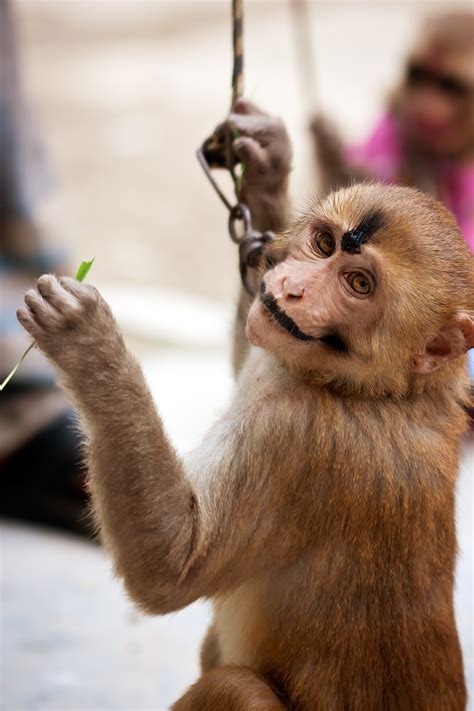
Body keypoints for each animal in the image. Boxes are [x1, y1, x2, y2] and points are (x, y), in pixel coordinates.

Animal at [17, 177, 473, 709]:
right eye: (324, 243)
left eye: (359, 284)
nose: (293, 290)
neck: (387, 390)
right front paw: (264, 176)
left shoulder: (293, 435)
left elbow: (172, 567)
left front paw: (86, 342)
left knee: (236, 687)